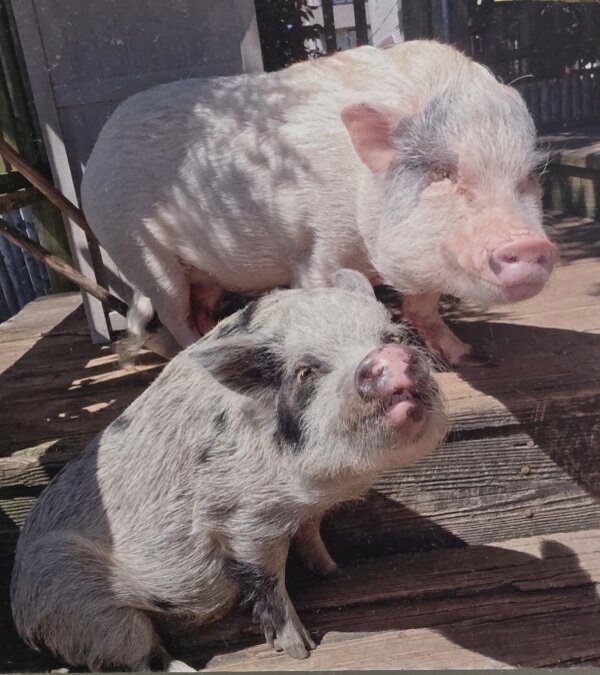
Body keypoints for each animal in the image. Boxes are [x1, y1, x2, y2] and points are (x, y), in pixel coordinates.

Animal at [10, 271, 447, 672]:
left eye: (394, 337)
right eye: (305, 372)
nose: (389, 358)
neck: (318, 487)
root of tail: (21, 615)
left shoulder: (305, 513)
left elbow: (311, 534)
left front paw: (333, 572)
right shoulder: (240, 520)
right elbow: (267, 581)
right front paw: (301, 650)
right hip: (83, 604)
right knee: (136, 654)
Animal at [81, 40, 557, 366]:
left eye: (528, 176)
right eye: (442, 173)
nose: (531, 245)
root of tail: (98, 149)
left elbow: (423, 307)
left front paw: (466, 356)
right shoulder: (318, 247)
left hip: (201, 270)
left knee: (200, 308)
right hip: (138, 250)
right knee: (174, 313)